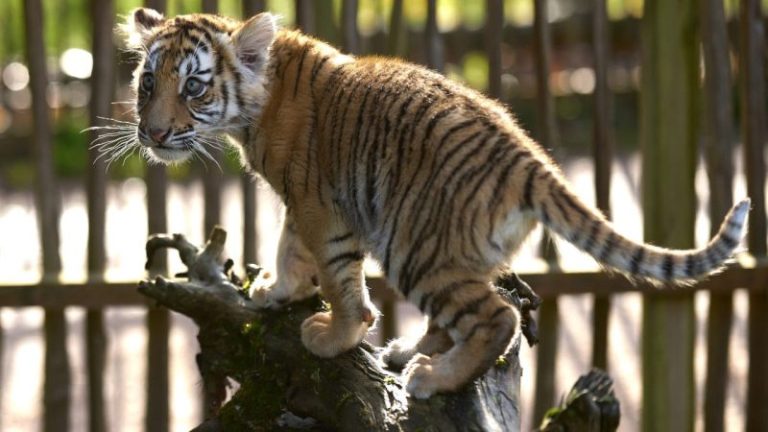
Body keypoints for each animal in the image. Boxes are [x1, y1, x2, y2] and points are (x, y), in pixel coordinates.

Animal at [117, 8, 750, 399]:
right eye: (147, 83)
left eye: (193, 86)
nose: (153, 133)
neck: (255, 98)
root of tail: (527, 158)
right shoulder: (303, 202)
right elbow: (291, 247)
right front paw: (278, 291)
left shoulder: (322, 206)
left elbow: (338, 278)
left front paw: (333, 335)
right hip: (456, 251)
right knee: (471, 311)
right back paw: (409, 352)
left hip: (415, 245)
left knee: (500, 317)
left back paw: (430, 377)